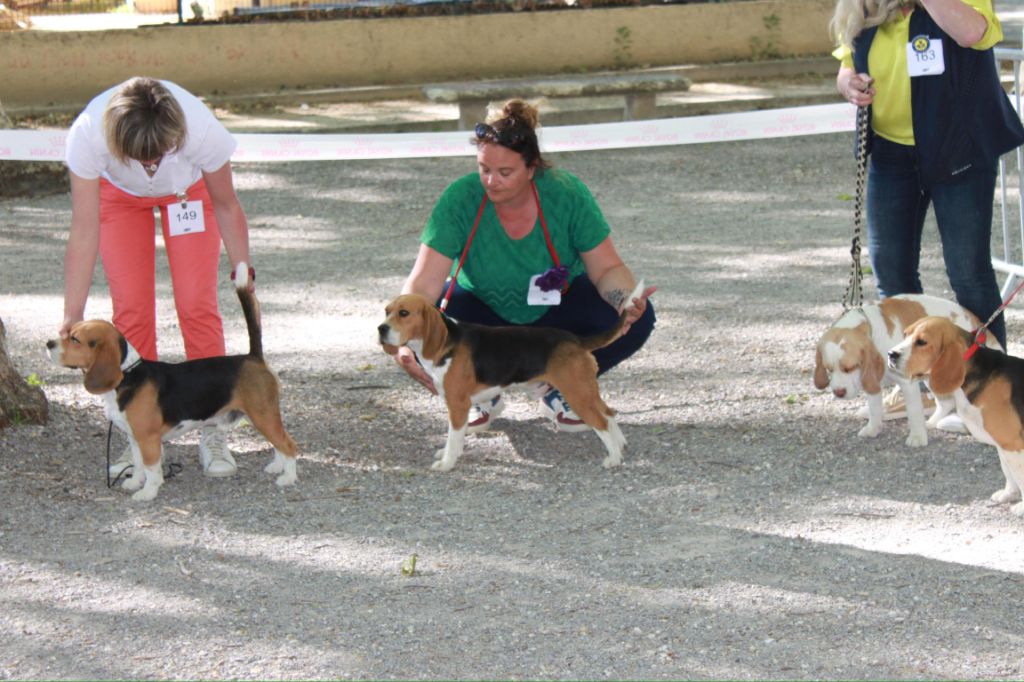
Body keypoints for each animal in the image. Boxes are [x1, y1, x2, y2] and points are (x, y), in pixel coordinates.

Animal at [48, 260, 296, 499]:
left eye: (75, 339)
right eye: (69, 332)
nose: (49, 343)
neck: (127, 375)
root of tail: (253, 356)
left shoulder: (147, 438)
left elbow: (151, 469)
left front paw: (147, 492)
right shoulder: (134, 438)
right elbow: (138, 465)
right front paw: (134, 482)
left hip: (263, 415)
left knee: (289, 445)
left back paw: (288, 477)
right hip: (261, 417)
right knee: (278, 444)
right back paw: (277, 467)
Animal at [380, 278, 643, 471]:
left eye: (404, 313)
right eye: (386, 311)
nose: (380, 329)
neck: (447, 342)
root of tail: (575, 339)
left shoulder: (457, 405)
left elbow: (453, 437)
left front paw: (446, 462)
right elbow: (455, 436)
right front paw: (446, 454)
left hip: (577, 393)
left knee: (601, 421)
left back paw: (613, 458)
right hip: (586, 390)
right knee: (609, 413)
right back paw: (620, 446)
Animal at [811, 292, 995, 446]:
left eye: (850, 368)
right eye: (829, 369)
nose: (838, 393)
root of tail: (978, 324)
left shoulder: (908, 384)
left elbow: (913, 412)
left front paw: (917, 437)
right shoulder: (872, 383)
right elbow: (875, 408)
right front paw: (873, 429)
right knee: (945, 403)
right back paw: (930, 423)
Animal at [888, 315, 1024, 512]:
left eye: (922, 342)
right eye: (905, 334)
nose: (891, 354)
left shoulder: (1012, 443)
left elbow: (1020, 477)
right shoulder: (1003, 445)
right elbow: (1008, 472)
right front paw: (1009, 494)